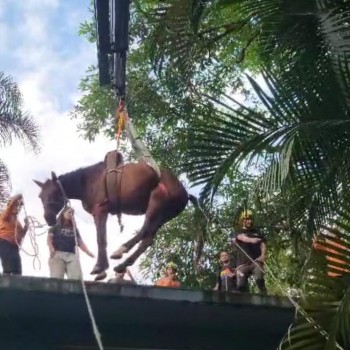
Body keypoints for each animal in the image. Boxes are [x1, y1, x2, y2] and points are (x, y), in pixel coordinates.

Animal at [33, 152, 200, 278]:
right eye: (40, 196)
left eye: (55, 193)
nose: (48, 218)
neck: (88, 180)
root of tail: (185, 193)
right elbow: (102, 238)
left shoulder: (100, 210)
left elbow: (101, 239)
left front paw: (100, 267)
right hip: (162, 216)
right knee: (147, 239)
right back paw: (123, 264)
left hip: (156, 202)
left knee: (144, 230)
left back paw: (121, 251)